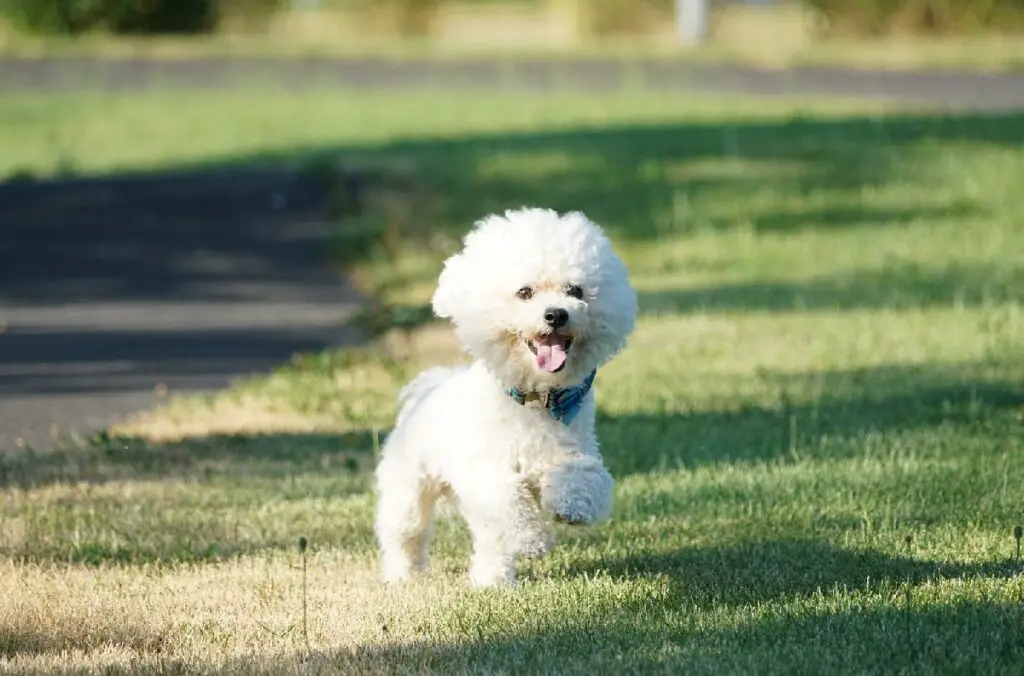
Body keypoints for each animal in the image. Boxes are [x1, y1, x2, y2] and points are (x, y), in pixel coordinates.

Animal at [372, 205, 634, 585]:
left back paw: (491, 582)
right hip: (408, 486)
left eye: (576, 290)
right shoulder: (485, 471)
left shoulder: (576, 448)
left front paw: (571, 507)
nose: (556, 314)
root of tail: (430, 388)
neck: (537, 400)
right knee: (406, 532)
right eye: (524, 292)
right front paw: (533, 540)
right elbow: (509, 501)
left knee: (488, 543)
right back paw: (403, 575)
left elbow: (583, 475)